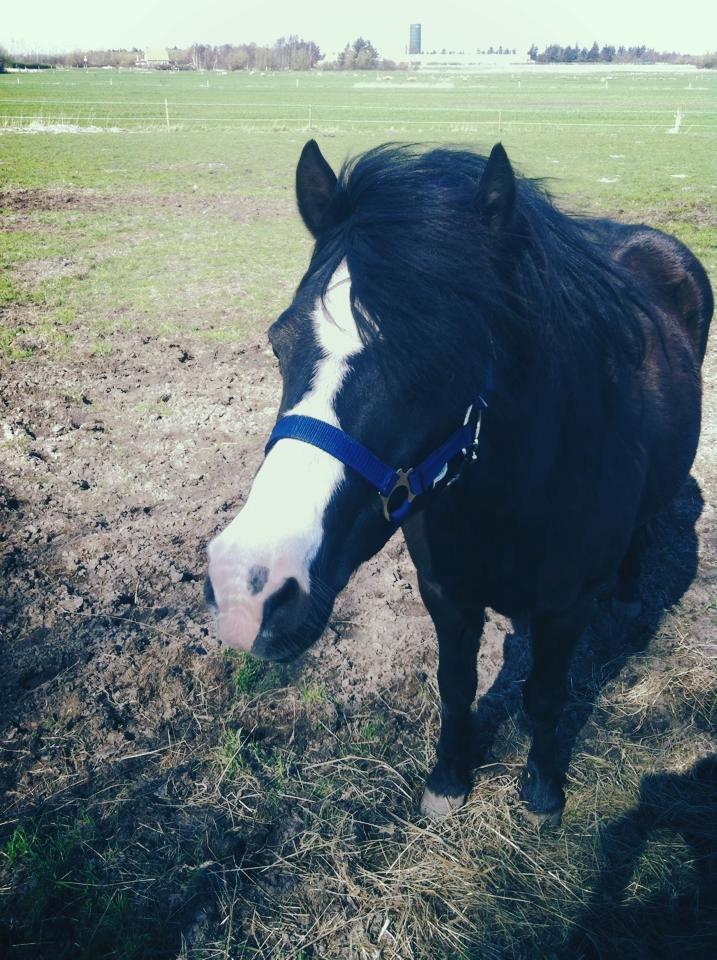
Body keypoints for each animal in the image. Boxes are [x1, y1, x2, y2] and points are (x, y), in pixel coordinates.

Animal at [205, 140, 712, 822]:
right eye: (279, 342)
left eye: (441, 360)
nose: (248, 588)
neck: (512, 496)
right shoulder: (445, 593)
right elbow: (457, 683)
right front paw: (449, 777)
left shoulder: (566, 605)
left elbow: (545, 694)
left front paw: (541, 789)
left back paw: (630, 599)